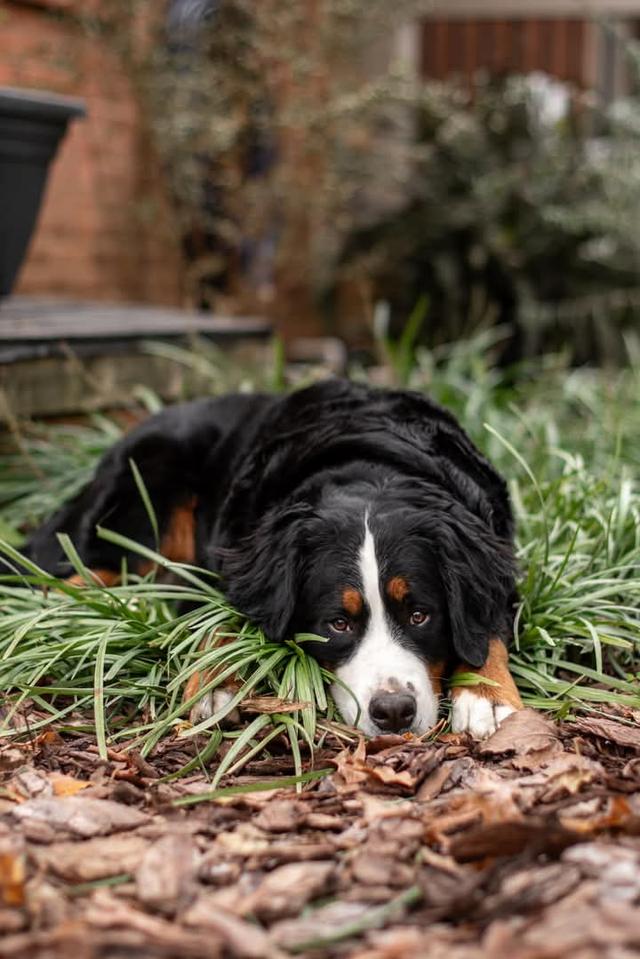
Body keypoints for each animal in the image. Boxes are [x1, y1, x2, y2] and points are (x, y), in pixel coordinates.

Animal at [22, 378, 524, 740]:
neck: (372, 473)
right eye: (337, 624)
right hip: (142, 481)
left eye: (420, 615)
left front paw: (488, 694)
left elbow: (488, 630)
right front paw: (216, 682)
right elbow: (220, 621)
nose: (394, 711)